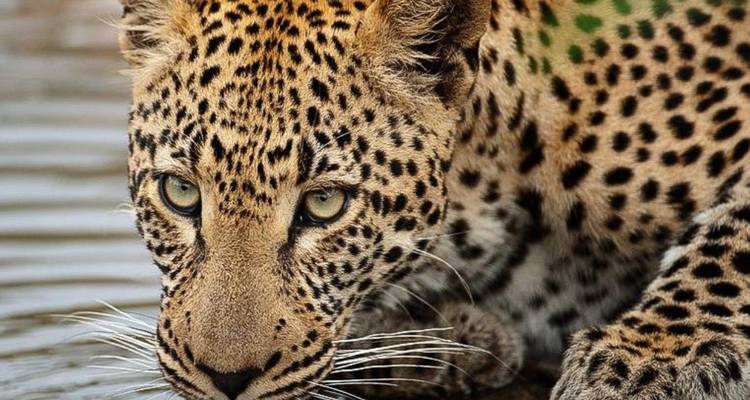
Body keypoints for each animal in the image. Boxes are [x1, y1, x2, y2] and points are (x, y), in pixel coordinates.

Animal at [118, 0, 750, 399]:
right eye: (180, 192)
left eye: (324, 204)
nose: (224, 380)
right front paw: (451, 343)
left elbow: (732, 235)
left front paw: (655, 363)